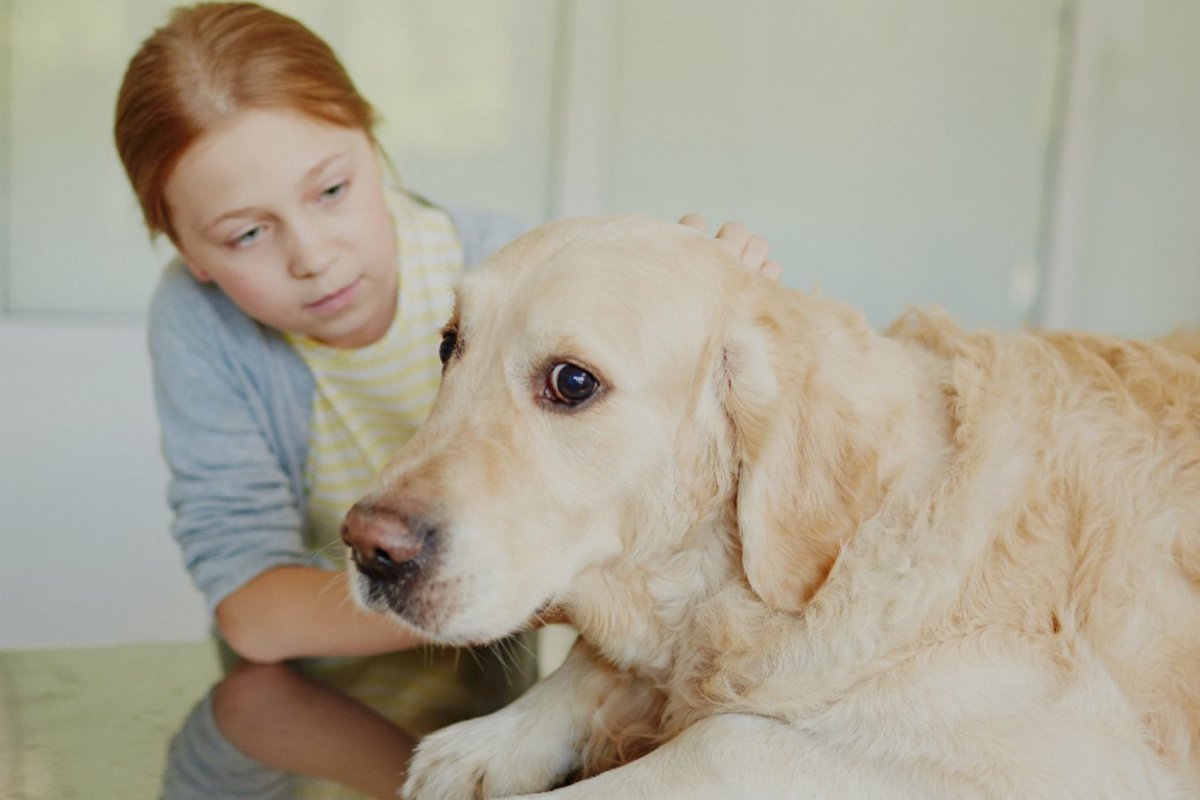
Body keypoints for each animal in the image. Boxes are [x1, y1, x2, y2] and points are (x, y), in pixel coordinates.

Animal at [338, 215, 1200, 796]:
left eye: (572, 382)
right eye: (448, 344)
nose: (366, 546)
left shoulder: (1063, 756)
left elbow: (724, 739)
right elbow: (596, 667)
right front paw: (484, 745)